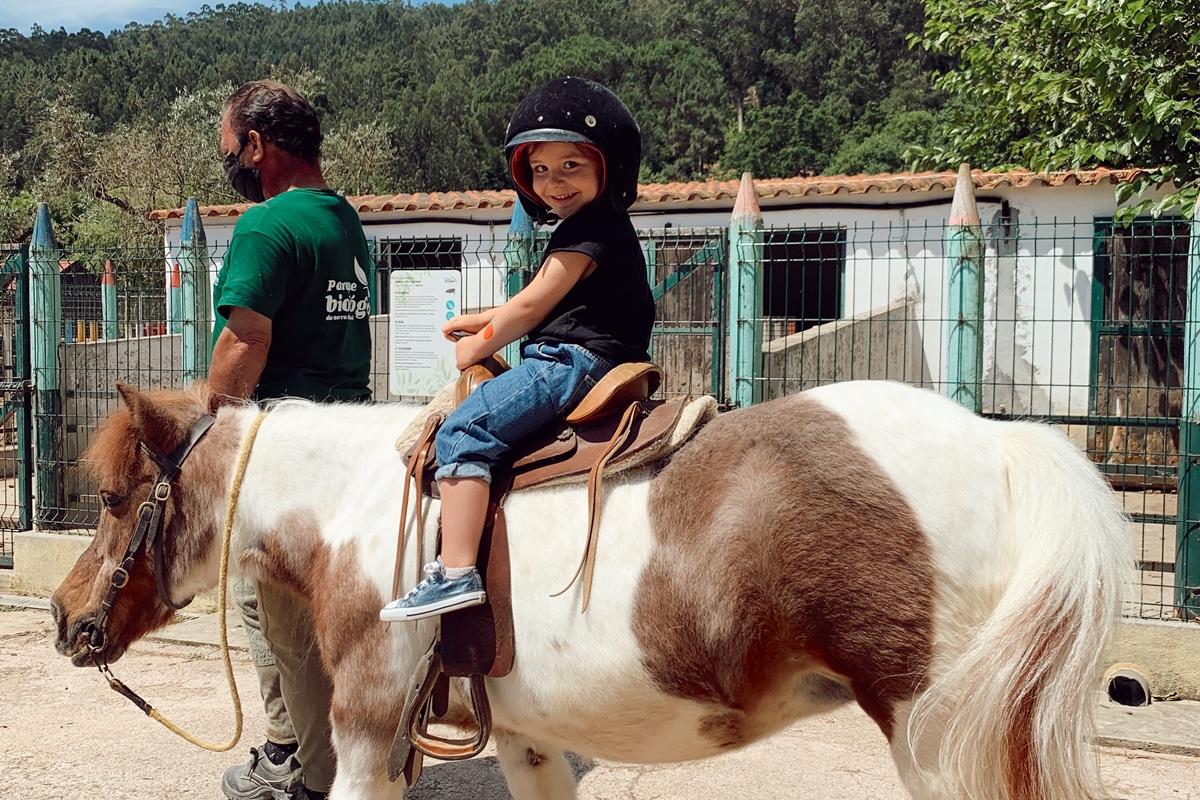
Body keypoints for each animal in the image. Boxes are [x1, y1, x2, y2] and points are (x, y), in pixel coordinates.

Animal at [51, 381, 1128, 800]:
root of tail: (1000, 444)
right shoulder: (526, 738)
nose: (65, 617)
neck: (353, 499)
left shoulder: (367, 732)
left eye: (111, 496)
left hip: (940, 737)